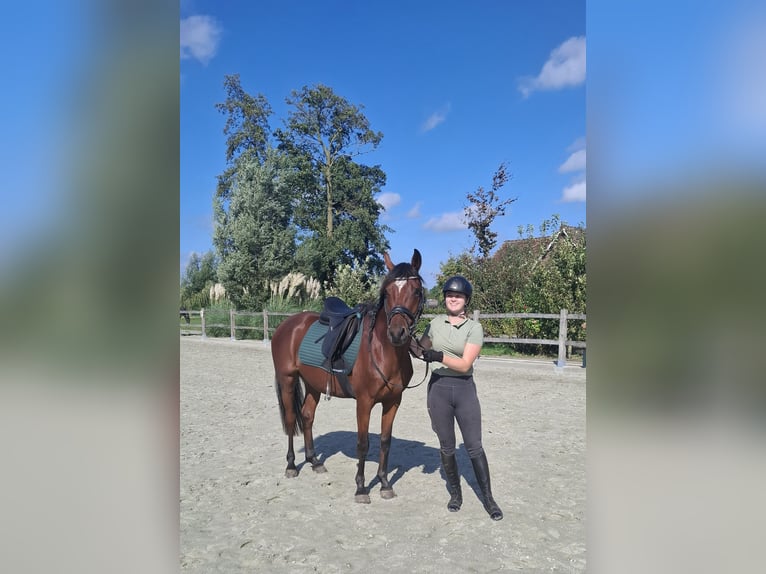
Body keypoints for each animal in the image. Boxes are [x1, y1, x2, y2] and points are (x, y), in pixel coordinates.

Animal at [271, 249, 425, 503]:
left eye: (416, 291)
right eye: (387, 292)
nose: (397, 333)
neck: (382, 349)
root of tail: (287, 324)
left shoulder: (393, 402)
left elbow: (385, 441)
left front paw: (384, 484)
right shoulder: (364, 402)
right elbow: (363, 443)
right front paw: (361, 488)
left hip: (313, 384)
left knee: (307, 416)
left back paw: (314, 461)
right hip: (287, 379)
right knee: (293, 418)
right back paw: (292, 465)